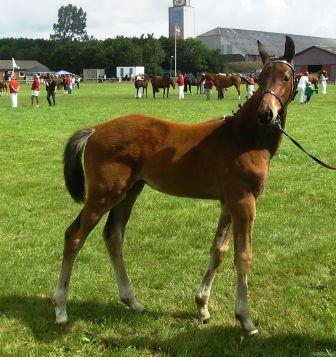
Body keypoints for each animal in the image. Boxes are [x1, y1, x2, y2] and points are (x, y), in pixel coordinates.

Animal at [53, 34, 296, 336]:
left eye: (286, 76)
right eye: (261, 78)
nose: (266, 114)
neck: (245, 138)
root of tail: (96, 129)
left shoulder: (228, 202)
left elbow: (218, 250)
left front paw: (202, 306)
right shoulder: (244, 200)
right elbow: (243, 256)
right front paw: (245, 319)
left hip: (129, 191)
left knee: (113, 236)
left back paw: (132, 301)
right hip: (104, 194)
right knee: (74, 236)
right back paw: (61, 310)